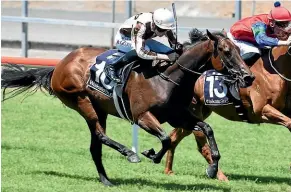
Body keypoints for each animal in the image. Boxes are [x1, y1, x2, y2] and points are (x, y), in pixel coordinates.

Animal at [1, 29, 254, 185]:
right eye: (227, 52)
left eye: (239, 51)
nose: (248, 77)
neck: (168, 77)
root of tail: (60, 65)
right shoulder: (142, 116)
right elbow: (165, 139)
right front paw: (150, 154)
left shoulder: (178, 115)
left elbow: (206, 129)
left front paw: (212, 169)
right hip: (82, 101)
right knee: (100, 135)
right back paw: (129, 154)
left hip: (99, 108)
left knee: (95, 145)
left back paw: (106, 180)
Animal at [164, 44, 291, 180]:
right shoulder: (261, 109)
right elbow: (289, 123)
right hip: (194, 110)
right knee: (202, 146)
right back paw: (218, 174)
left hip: (195, 114)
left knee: (174, 137)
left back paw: (168, 170)